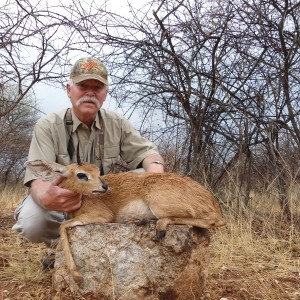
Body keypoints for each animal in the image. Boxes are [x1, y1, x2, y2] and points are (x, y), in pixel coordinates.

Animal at [25, 161, 225, 282]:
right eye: (82, 174)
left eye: (97, 172)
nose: (104, 186)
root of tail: (210, 199)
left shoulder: (102, 216)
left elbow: (62, 226)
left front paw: (76, 276)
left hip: (160, 205)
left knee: (216, 220)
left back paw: (160, 226)